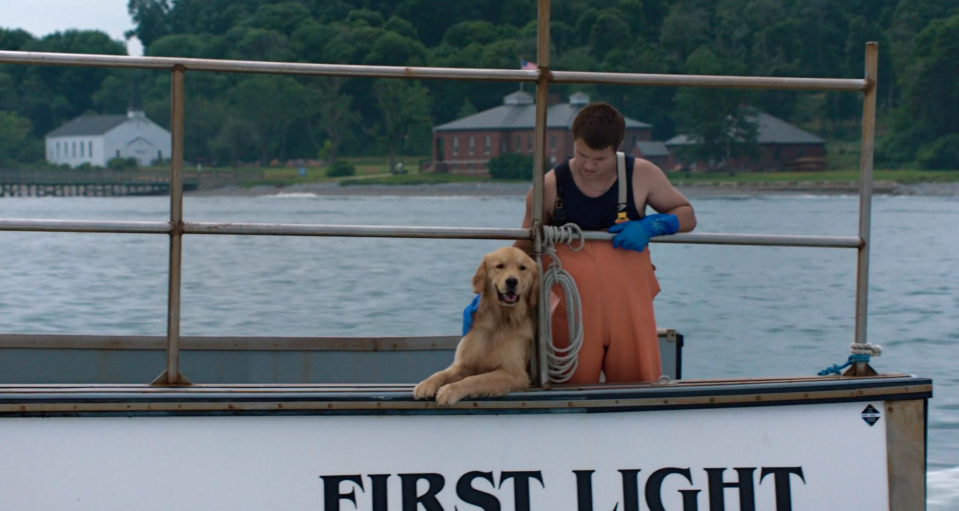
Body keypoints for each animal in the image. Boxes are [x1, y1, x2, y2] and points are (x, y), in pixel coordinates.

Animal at [414, 248, 540, 408]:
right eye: (500, 266)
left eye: (522, 268)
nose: (512, 281)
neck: (499, 321)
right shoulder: (464, 364)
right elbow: (441, 373)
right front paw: (426, 384)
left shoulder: (514, 373)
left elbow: (475, 379)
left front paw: (450, 390)